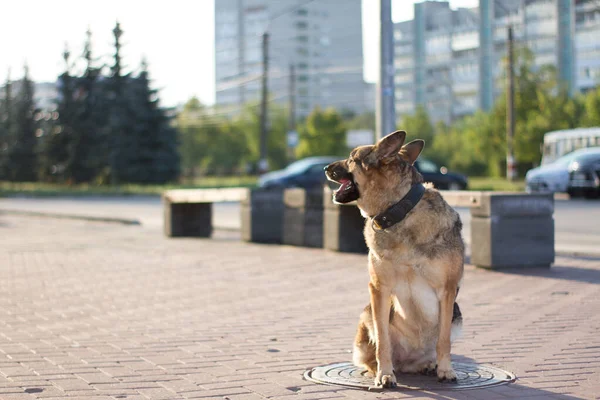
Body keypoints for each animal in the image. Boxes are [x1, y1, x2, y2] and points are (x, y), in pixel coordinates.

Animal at [326, 130, 462, 388]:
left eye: (352, 158)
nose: (325, 167)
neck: (400, 211)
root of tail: (408, 361)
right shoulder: (379, 288)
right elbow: (383, 341)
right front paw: (385, 374)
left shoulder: (447, 291)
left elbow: (444, 341)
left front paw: (445, 370)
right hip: (367, 313)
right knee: (374, 352)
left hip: (457, 314)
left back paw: (428, 365)